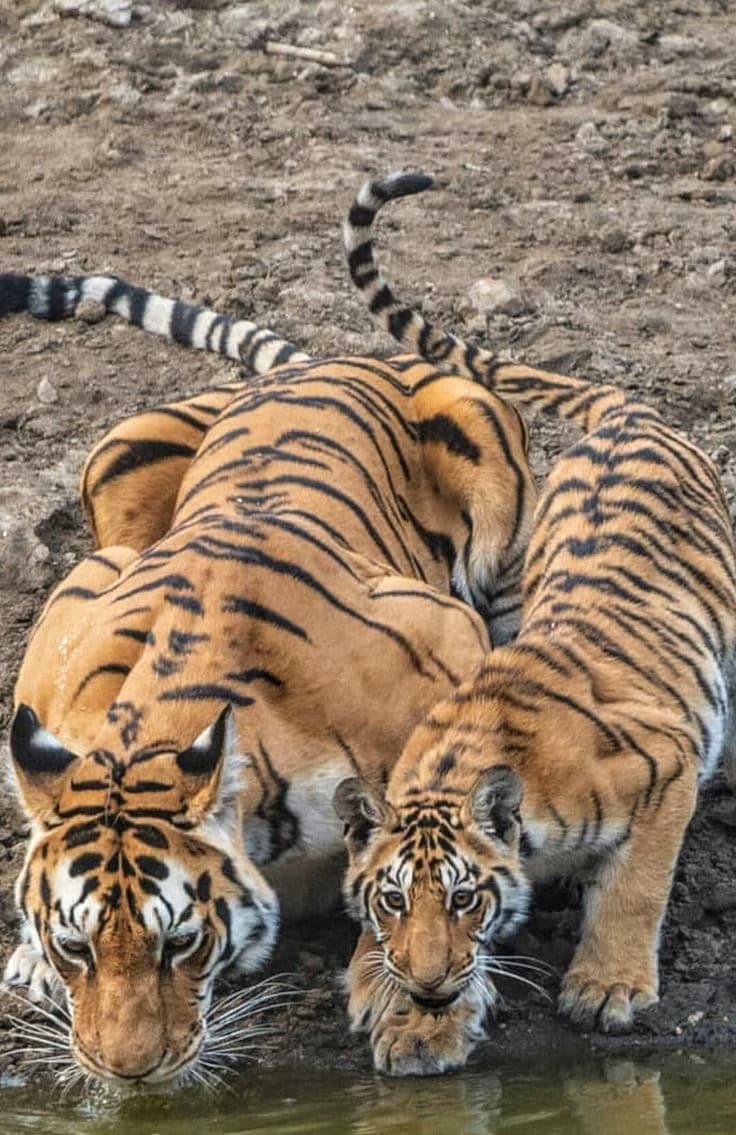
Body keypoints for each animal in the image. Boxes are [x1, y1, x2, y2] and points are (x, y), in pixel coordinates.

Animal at [0, 226, 536, 1088]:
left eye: (179, 942)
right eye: (78, 945)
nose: (127, 1073)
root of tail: (318, 364)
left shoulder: (443, 628)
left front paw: (425, 1020)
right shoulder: (76, 602)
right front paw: (30, 957)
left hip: (482, 436)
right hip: (112, 459)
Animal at [334, 171, 736, 1076]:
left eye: (463, 896)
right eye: (393, 899)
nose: (428, 982)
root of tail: (627, 412)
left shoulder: (666, 763)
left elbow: (634, 888)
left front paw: (608, 985)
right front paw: (414, 1021)